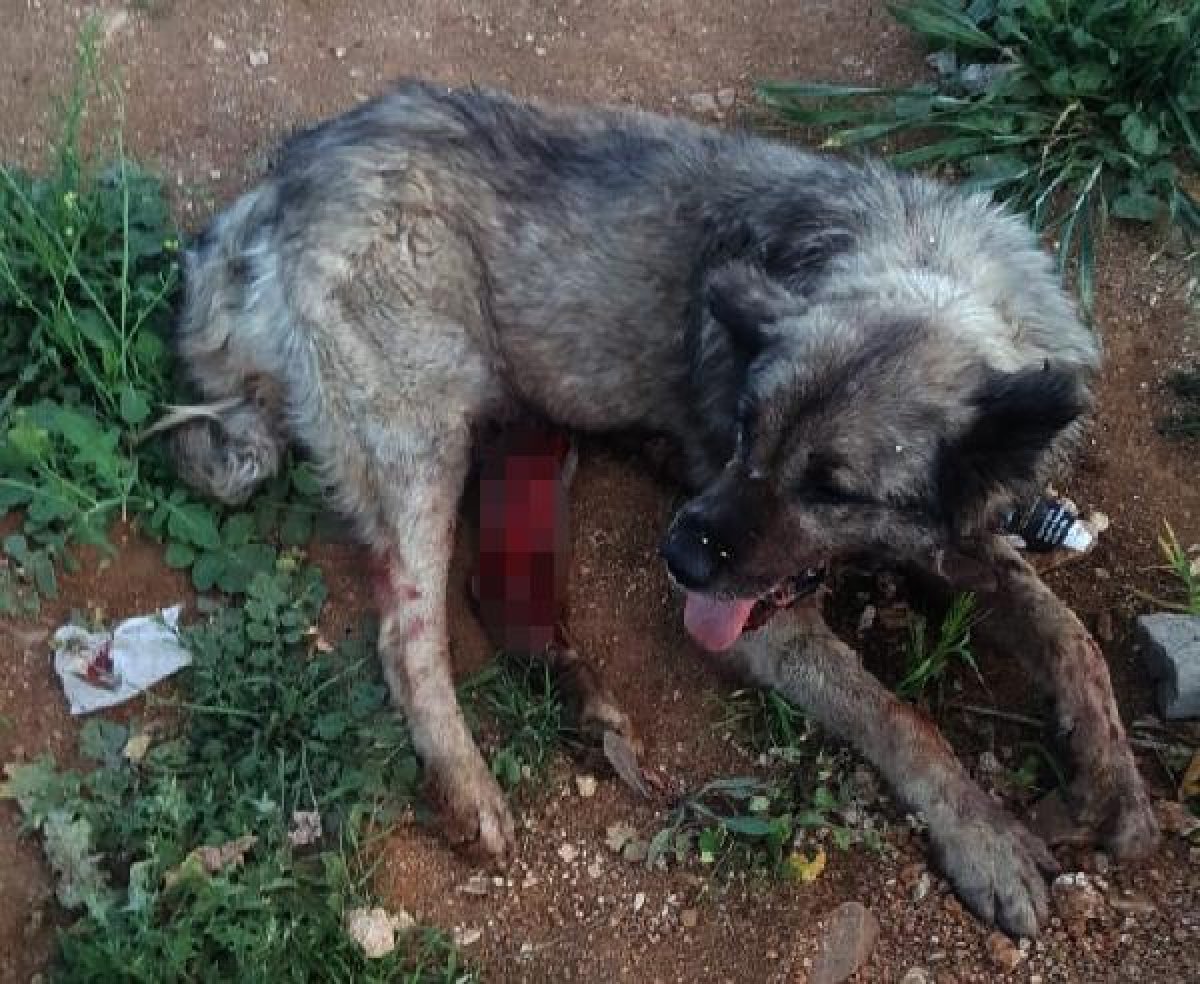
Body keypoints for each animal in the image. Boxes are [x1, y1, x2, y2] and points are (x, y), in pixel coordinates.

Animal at [166, 81, 1152, 936]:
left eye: (833, 489)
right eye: (747, 426)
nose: (678, 560)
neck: (922, 264)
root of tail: (280, 181)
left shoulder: (964, 531)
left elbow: (1070, 635)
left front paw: (1115, 780)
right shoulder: (759, 627)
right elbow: (899, 719)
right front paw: (982, 836)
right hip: (423, 426)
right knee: (407, 635)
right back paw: (468, 783)